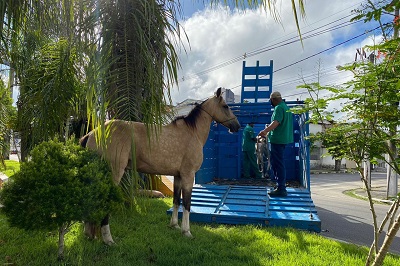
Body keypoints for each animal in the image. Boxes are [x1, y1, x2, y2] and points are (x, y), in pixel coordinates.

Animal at [79, 87, 239, 243]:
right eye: (225, 106)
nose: (237, 126)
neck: (192, 132)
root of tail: (92, 134)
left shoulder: (178, 176)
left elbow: (176, 200)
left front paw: (174, 225)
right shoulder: (188, 176)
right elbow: (187, 203)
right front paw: (186, 231)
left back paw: (89, 234)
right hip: (114, 173)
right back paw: (108, 239)